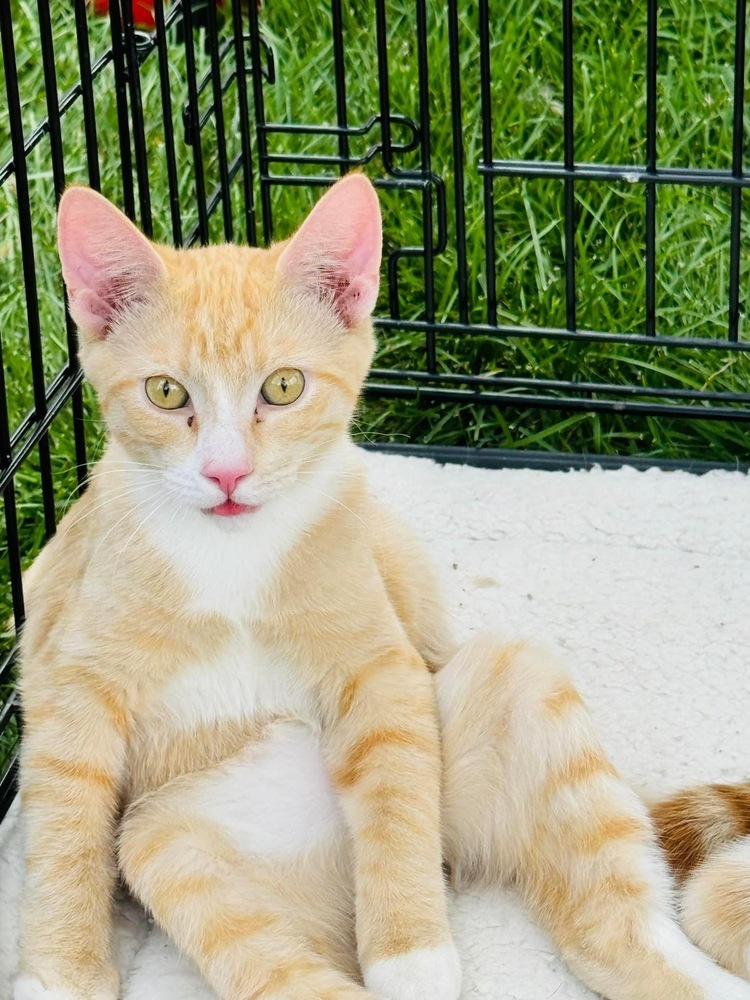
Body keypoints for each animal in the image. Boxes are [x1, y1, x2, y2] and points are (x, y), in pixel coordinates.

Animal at [11, 180, 750, 1000]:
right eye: (167, 392)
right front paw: (63, 971)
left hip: (512, 693)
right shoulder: (71, 682)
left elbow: (395, 788)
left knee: (606, 920)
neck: (231, 562)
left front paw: (412, 953)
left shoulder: (382, 662)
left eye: (284, 386)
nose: (227, 473)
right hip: (172, 849)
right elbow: (65, 824)